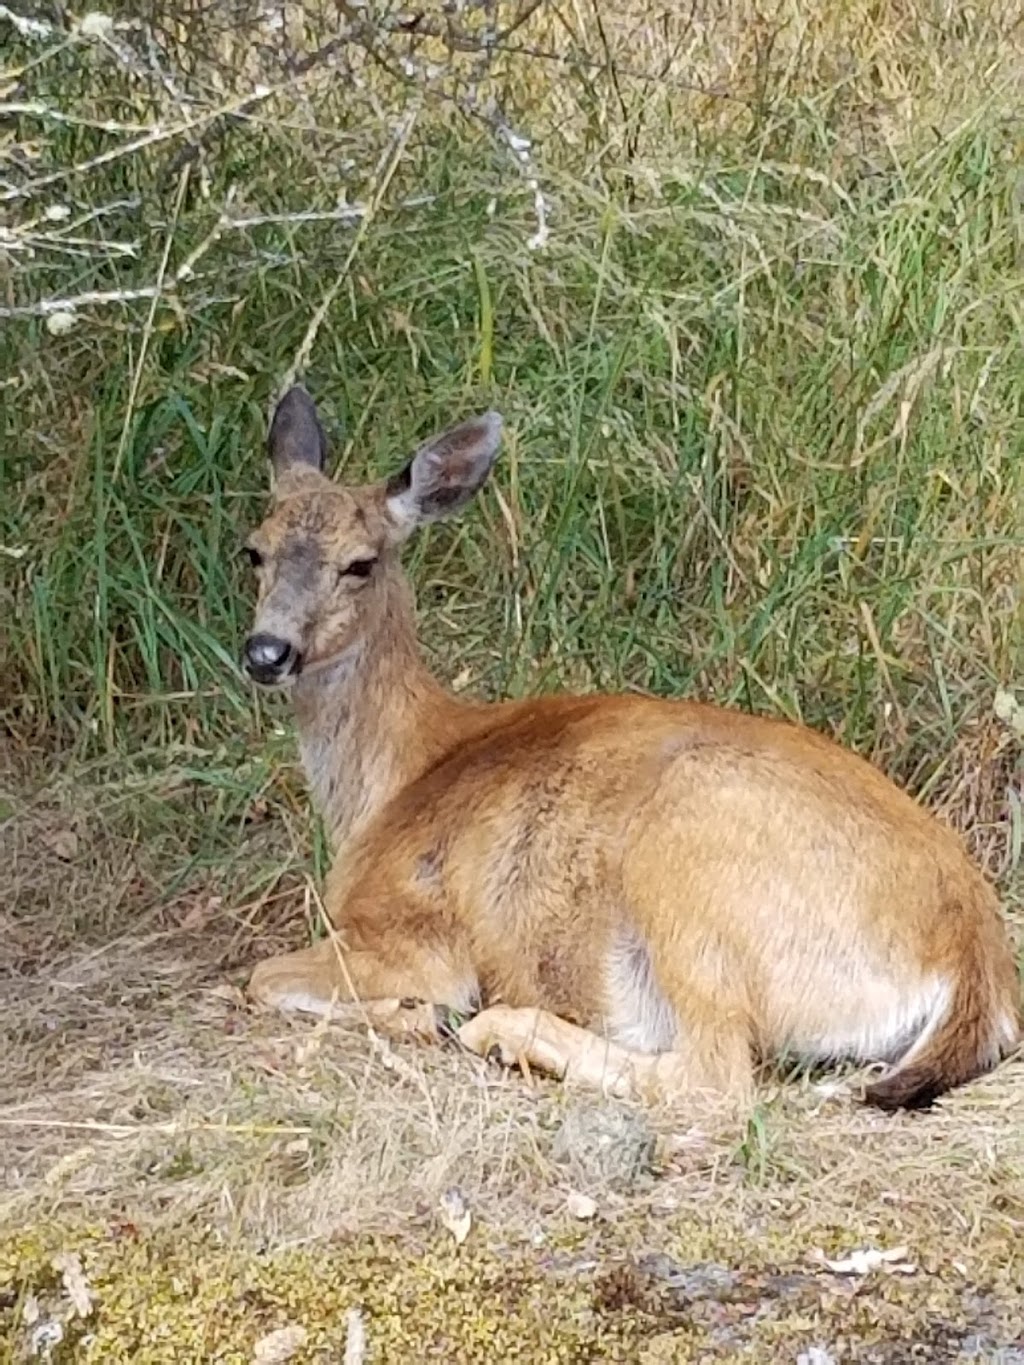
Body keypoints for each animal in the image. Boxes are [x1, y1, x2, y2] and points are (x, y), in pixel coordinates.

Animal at [238, 382, 1021, 1108]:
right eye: (254, 551)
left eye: (360, 563)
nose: (266, 651)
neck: (396, 778)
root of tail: (976, 962)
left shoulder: (413, 932)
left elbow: (261, 977)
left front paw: (415, 1014)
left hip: (687, 862)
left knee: (714, 1075)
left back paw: (500, 1032)